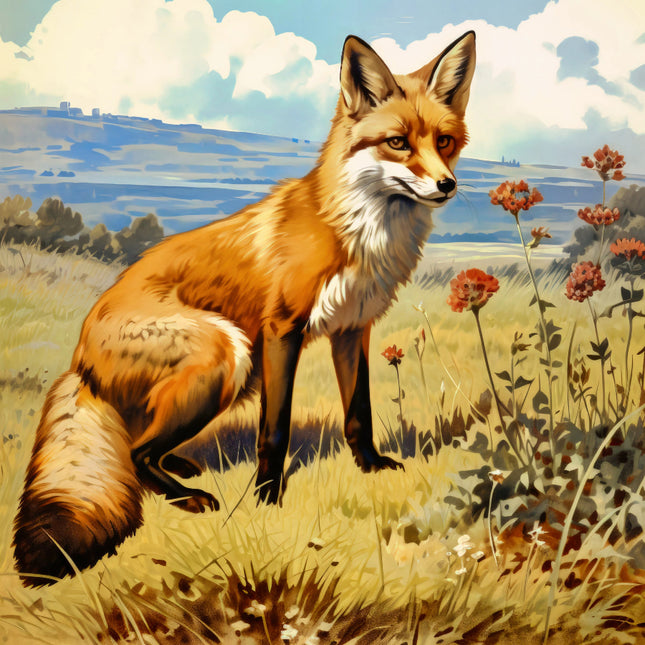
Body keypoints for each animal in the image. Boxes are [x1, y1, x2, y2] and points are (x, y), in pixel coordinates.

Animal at [13, 30, 476, 586]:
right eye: (399, 143)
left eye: (443, 142)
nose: (447, 185)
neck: (356, 233)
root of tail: (79, 361)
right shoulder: (283, 329)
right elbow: (274, 431)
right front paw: (267, 498)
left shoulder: (352, 328)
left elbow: (358, 413)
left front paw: (369, 466)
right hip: (229, 353)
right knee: (137, 451)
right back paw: (187, 495)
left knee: (139, 441)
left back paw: (181, 467)